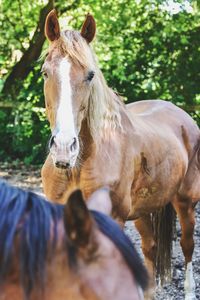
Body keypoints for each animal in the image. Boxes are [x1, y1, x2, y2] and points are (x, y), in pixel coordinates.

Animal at [41, 9, 199, 300]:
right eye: (46, 73)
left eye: (90, 75)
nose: (64, 147)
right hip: (144, 210)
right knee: (150, 248)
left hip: (186, 202)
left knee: (187, 245)